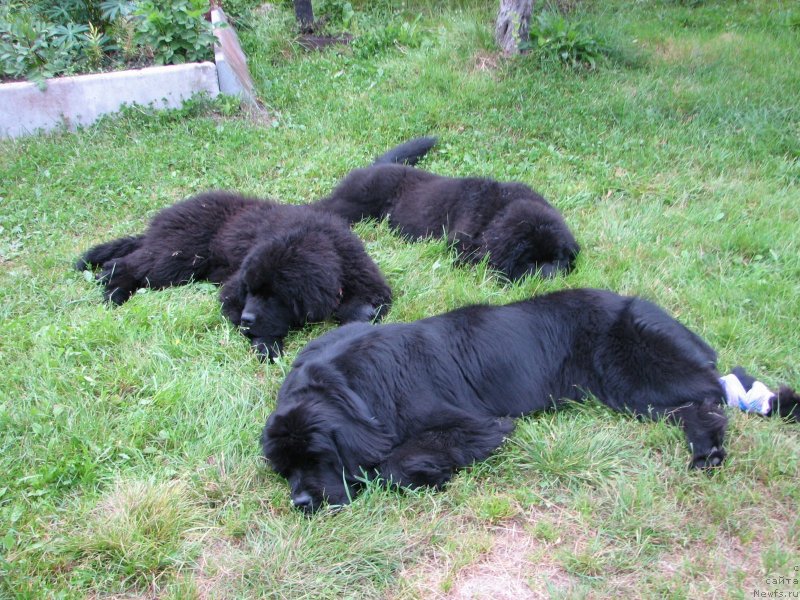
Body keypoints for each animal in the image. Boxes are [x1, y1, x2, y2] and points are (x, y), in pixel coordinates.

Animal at [77, 192, 390, 358]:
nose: (246, 319)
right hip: (178, 256)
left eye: (275, 296)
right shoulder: (233, 289)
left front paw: (359, 313)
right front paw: (267, 346)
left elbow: (372, 304)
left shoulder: (367, 278)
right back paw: (112, 292)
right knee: (131, 265)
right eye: (251, 290)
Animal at [264, 288, 800, 512]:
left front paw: (426, 475)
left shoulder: (477, 425)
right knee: (700, 401)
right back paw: (707, 449)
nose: (302, 502)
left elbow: (394, 463)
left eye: (318, 457)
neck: (349, 386)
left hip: (639, 371)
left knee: (713, 389)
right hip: (633, 394)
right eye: (284, 468)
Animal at [314, 139, 580, 282]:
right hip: (355, 202)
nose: (549, 281)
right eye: (530, 261)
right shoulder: (457, 243)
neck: (501, 208)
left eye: (557, 259)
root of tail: (377, 166)